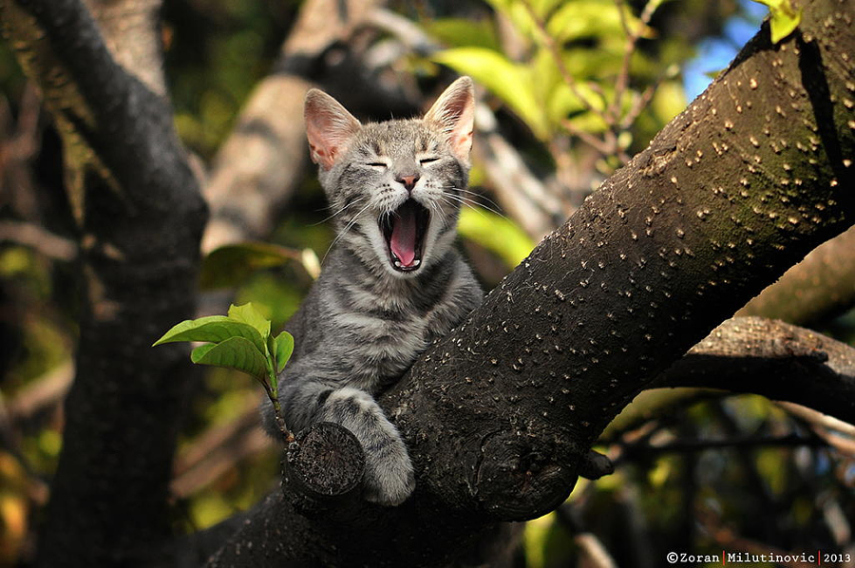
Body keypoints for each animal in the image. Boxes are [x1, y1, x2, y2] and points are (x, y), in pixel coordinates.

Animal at [262, 76, 482, 506]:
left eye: (427, 159)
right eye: (375, 164)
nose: (409, 178)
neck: (409, 299)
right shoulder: (288, 388)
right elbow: (344, 401)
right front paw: (389, 464)